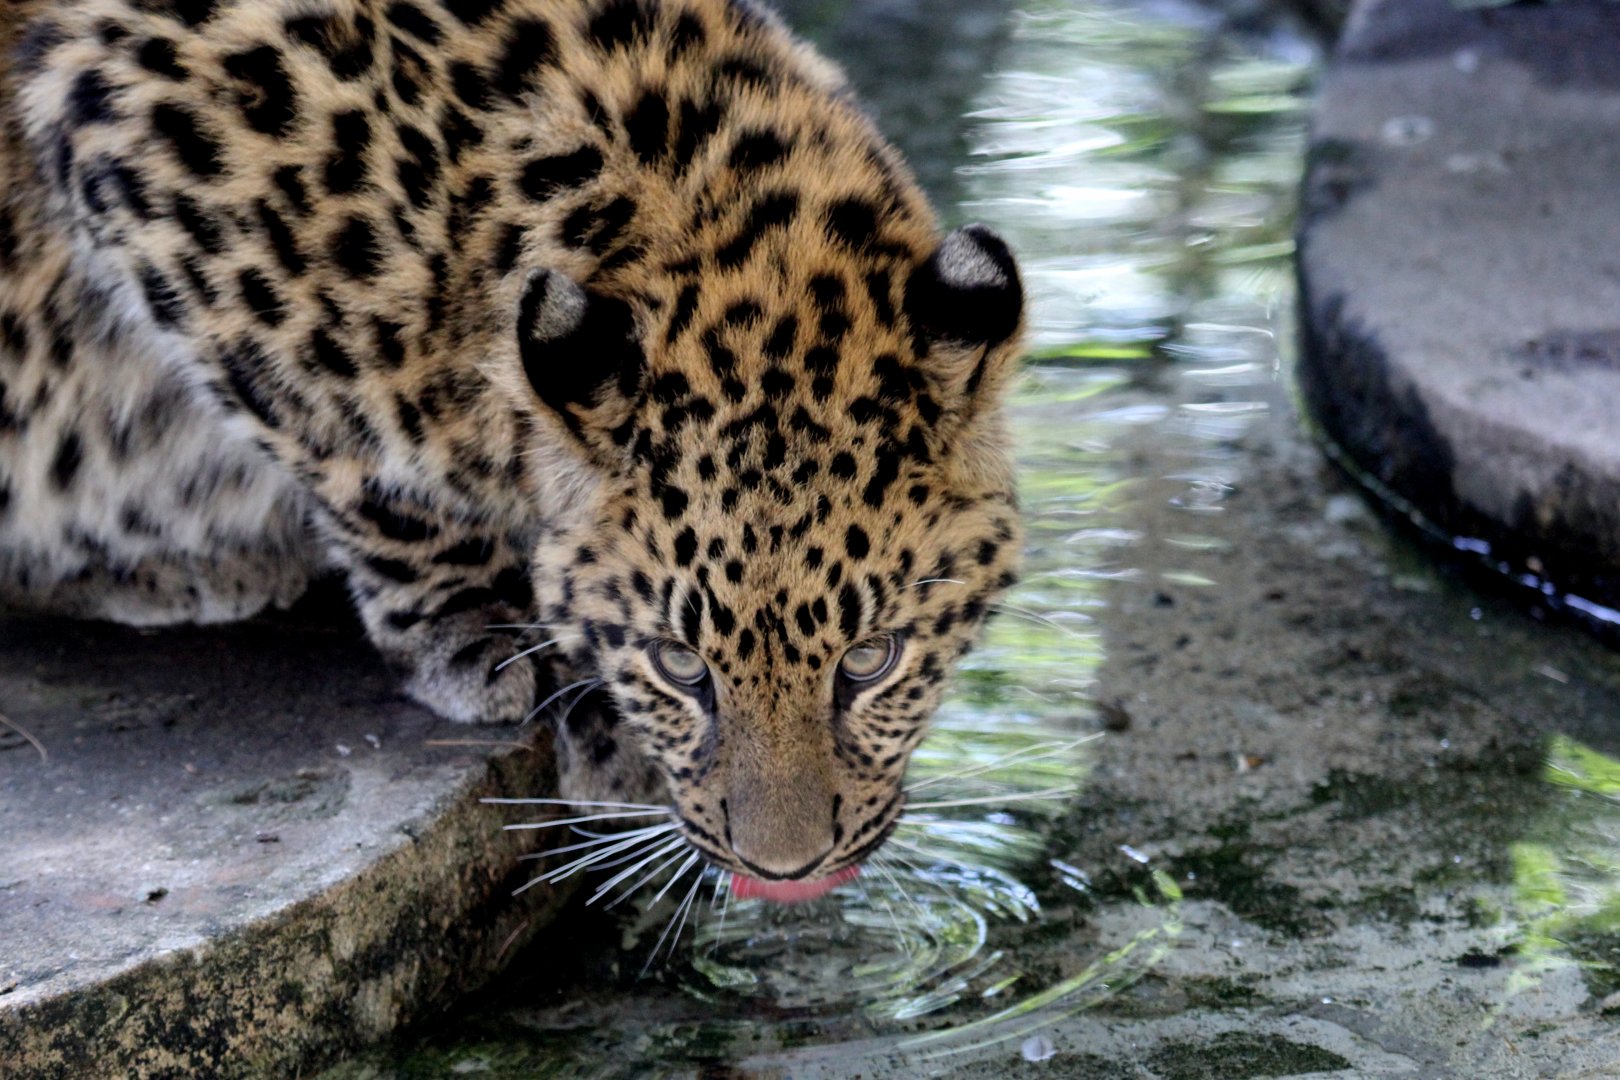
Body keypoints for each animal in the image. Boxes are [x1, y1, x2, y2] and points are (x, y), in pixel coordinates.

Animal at [0, 0, 1025, 895]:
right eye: (679, 667)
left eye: (871, 659)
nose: (784, 871)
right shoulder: (130, 123)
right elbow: (340, 433)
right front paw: (481, 632)